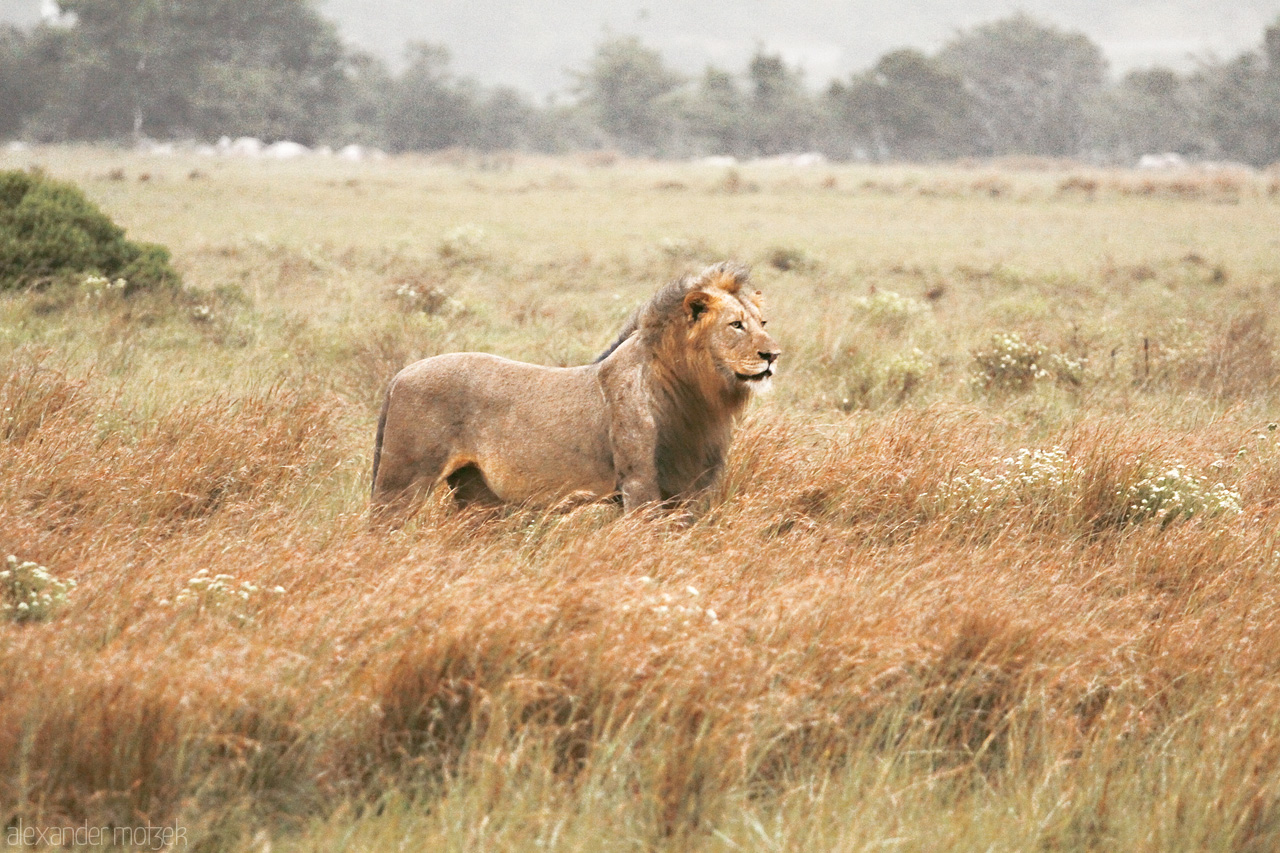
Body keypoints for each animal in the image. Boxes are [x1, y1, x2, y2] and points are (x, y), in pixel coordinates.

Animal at [366, 258, 773, 514]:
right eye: (736, 325)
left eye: (763, 322)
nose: (773, 355)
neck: (696, 396)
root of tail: (398, 376)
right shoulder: (640, 483)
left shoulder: (692, 487)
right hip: (400, 484)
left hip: (474, 493)